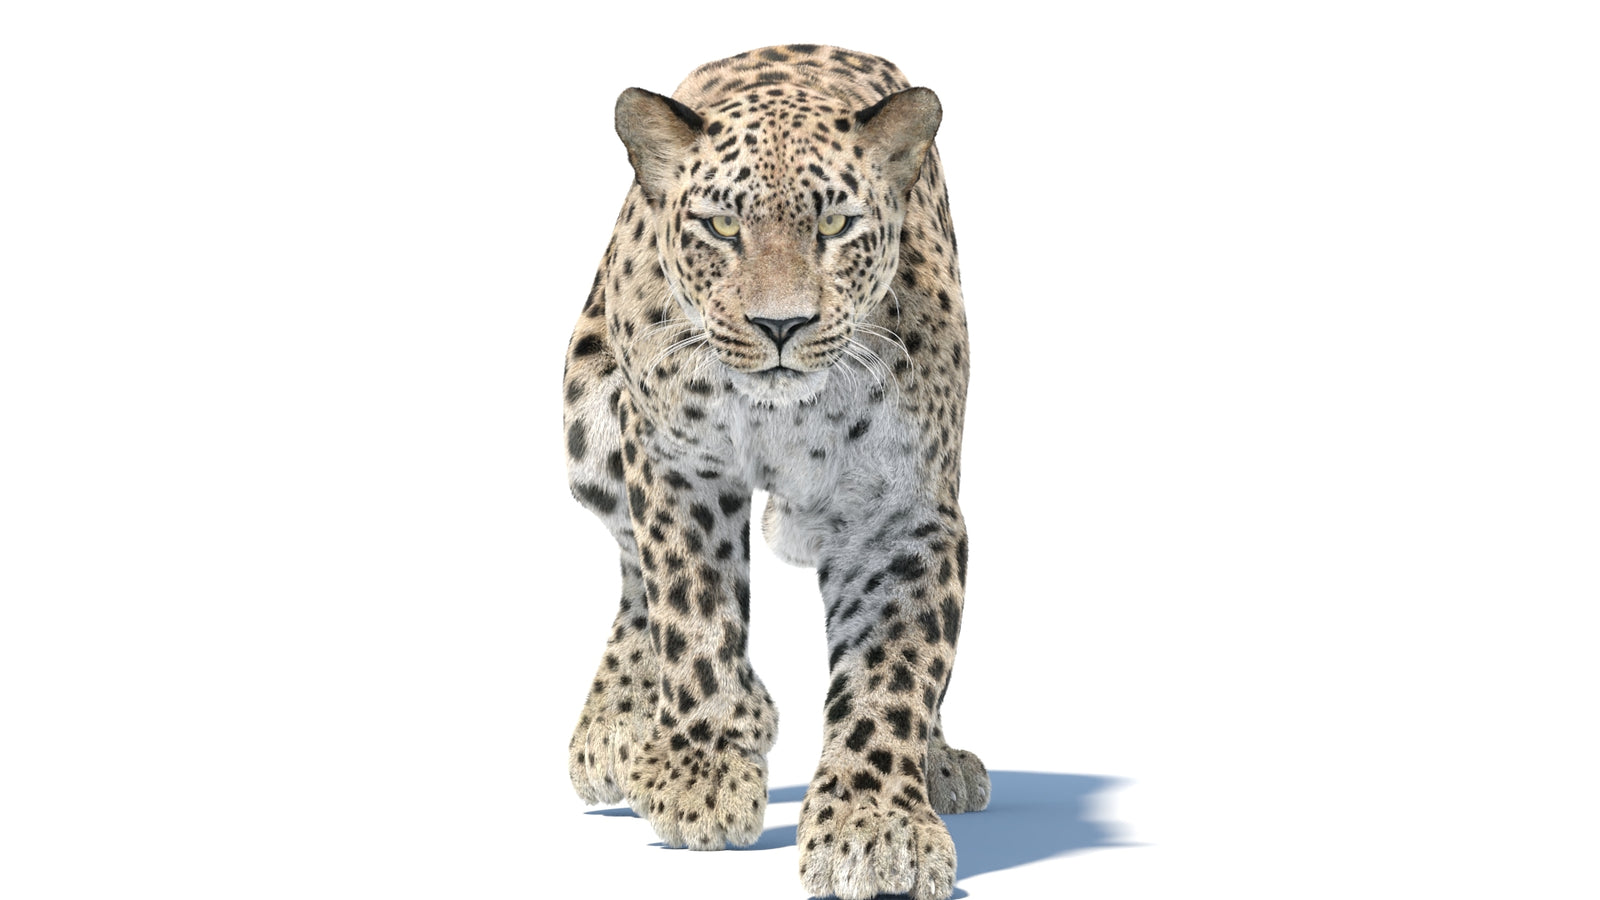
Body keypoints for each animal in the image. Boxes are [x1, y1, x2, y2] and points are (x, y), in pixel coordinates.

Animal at [561, 44, 987, 900]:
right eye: (722, 226)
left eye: (835, 224)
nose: (781, 324)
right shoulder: (676, 464)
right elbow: (692, 610)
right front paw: (700, 771)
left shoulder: (904, 512)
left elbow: (896, 667)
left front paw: (875, 824)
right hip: (591, 422)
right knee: (630, 564)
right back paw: (621, 725)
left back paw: (939, 760)